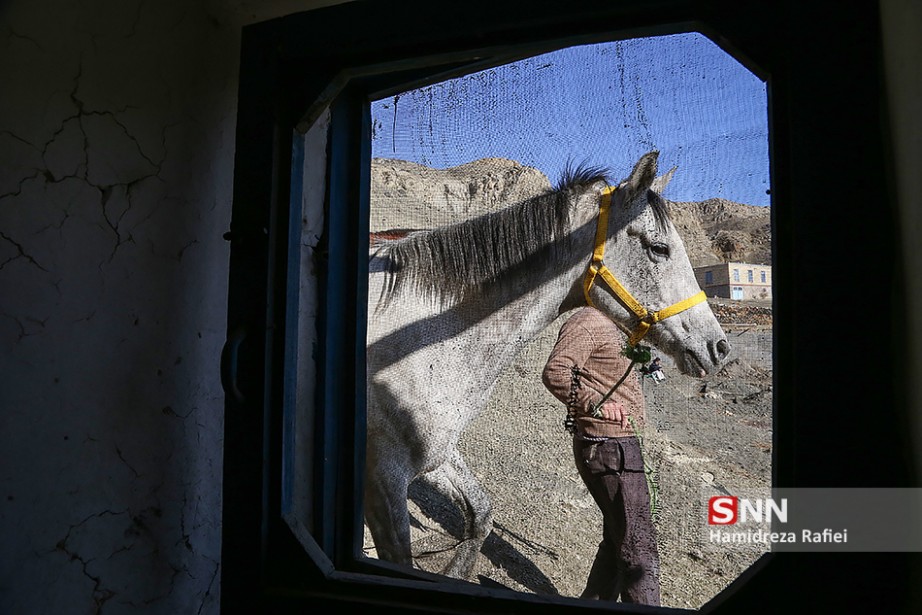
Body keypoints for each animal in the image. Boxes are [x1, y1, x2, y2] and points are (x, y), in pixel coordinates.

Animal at [362, 152, 728, 580]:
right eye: (659, 248)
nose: (719, 347)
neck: (419, 337)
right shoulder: (383, 478)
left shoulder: (436, 453)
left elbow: (480, 516)